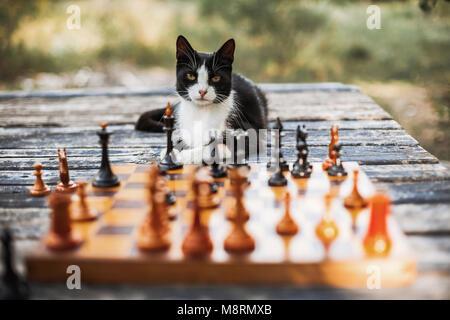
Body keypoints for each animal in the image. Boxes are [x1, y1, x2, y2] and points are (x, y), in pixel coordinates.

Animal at [134, 35, 268, 162]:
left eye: (216, 78)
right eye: (191, 76)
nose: (202, 91)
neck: (201, 112)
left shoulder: (248, 131)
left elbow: (215, 147)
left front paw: (183, 155)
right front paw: (172, 150)